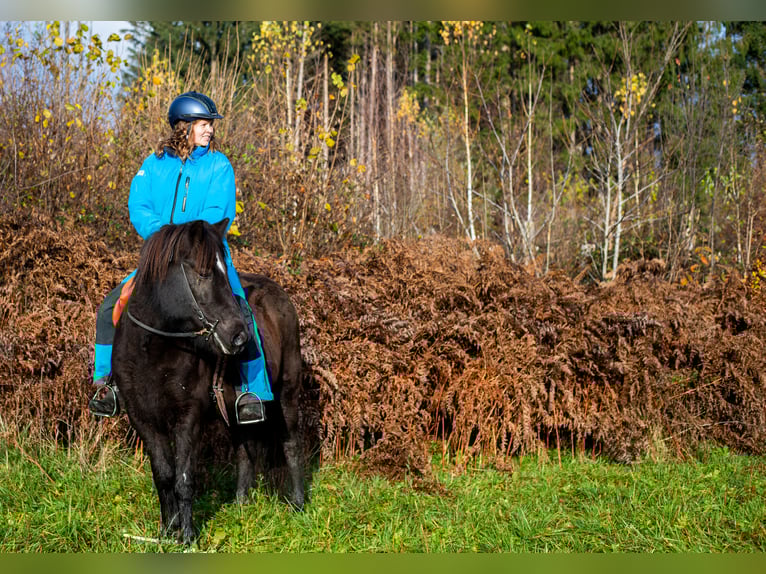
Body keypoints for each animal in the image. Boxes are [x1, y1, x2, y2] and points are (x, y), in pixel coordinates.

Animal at [111, 218, 304, 544]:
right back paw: (241, 505)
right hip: (235, 413)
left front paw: (188, 536)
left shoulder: (188, 418)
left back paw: (300, 504)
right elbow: (164, 475)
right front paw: (168, 530)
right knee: (245, 450)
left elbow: (184, 477)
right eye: (203, 272)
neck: (154, 350)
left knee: (291, 444)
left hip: (288, 391)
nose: (239, 337)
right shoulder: (144, 419)